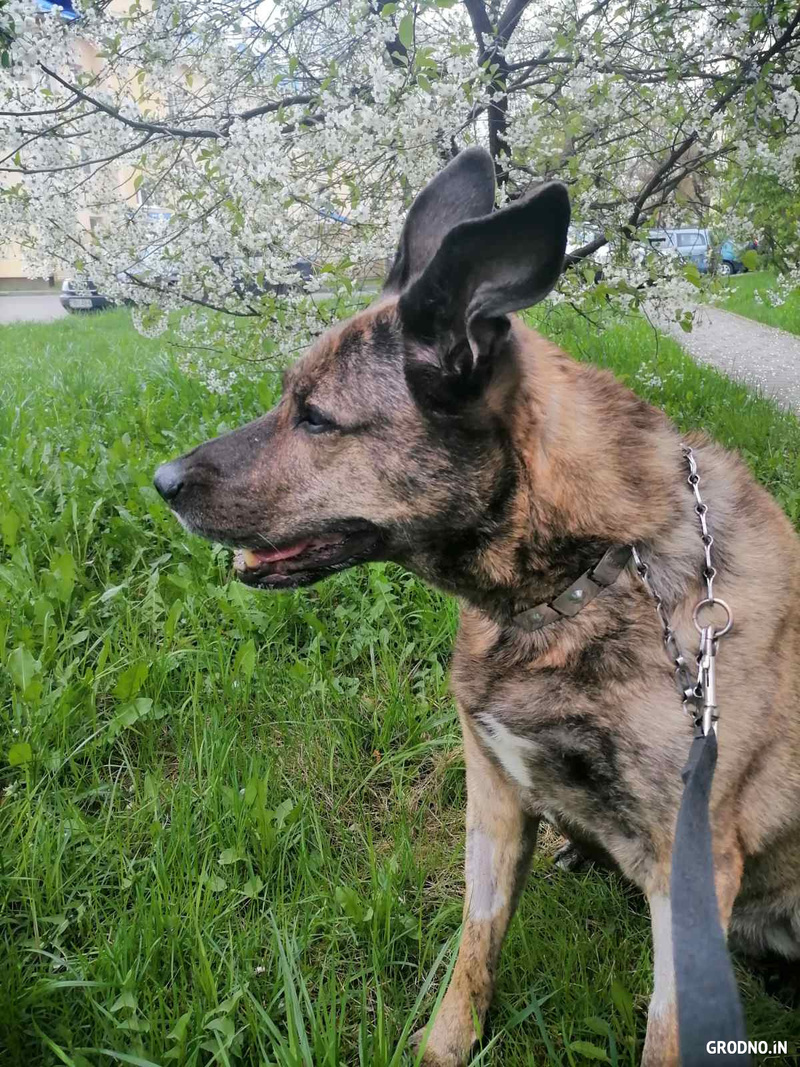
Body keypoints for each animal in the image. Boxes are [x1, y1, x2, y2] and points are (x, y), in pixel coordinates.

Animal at [154, 150, 800, 1067]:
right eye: (288, 399)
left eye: (315, 418)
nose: (162, 482)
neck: (583, 578)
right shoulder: (492, 797)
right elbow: (474, 948)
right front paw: (446, 1043)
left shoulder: (689, 874)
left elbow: (665, 1033)